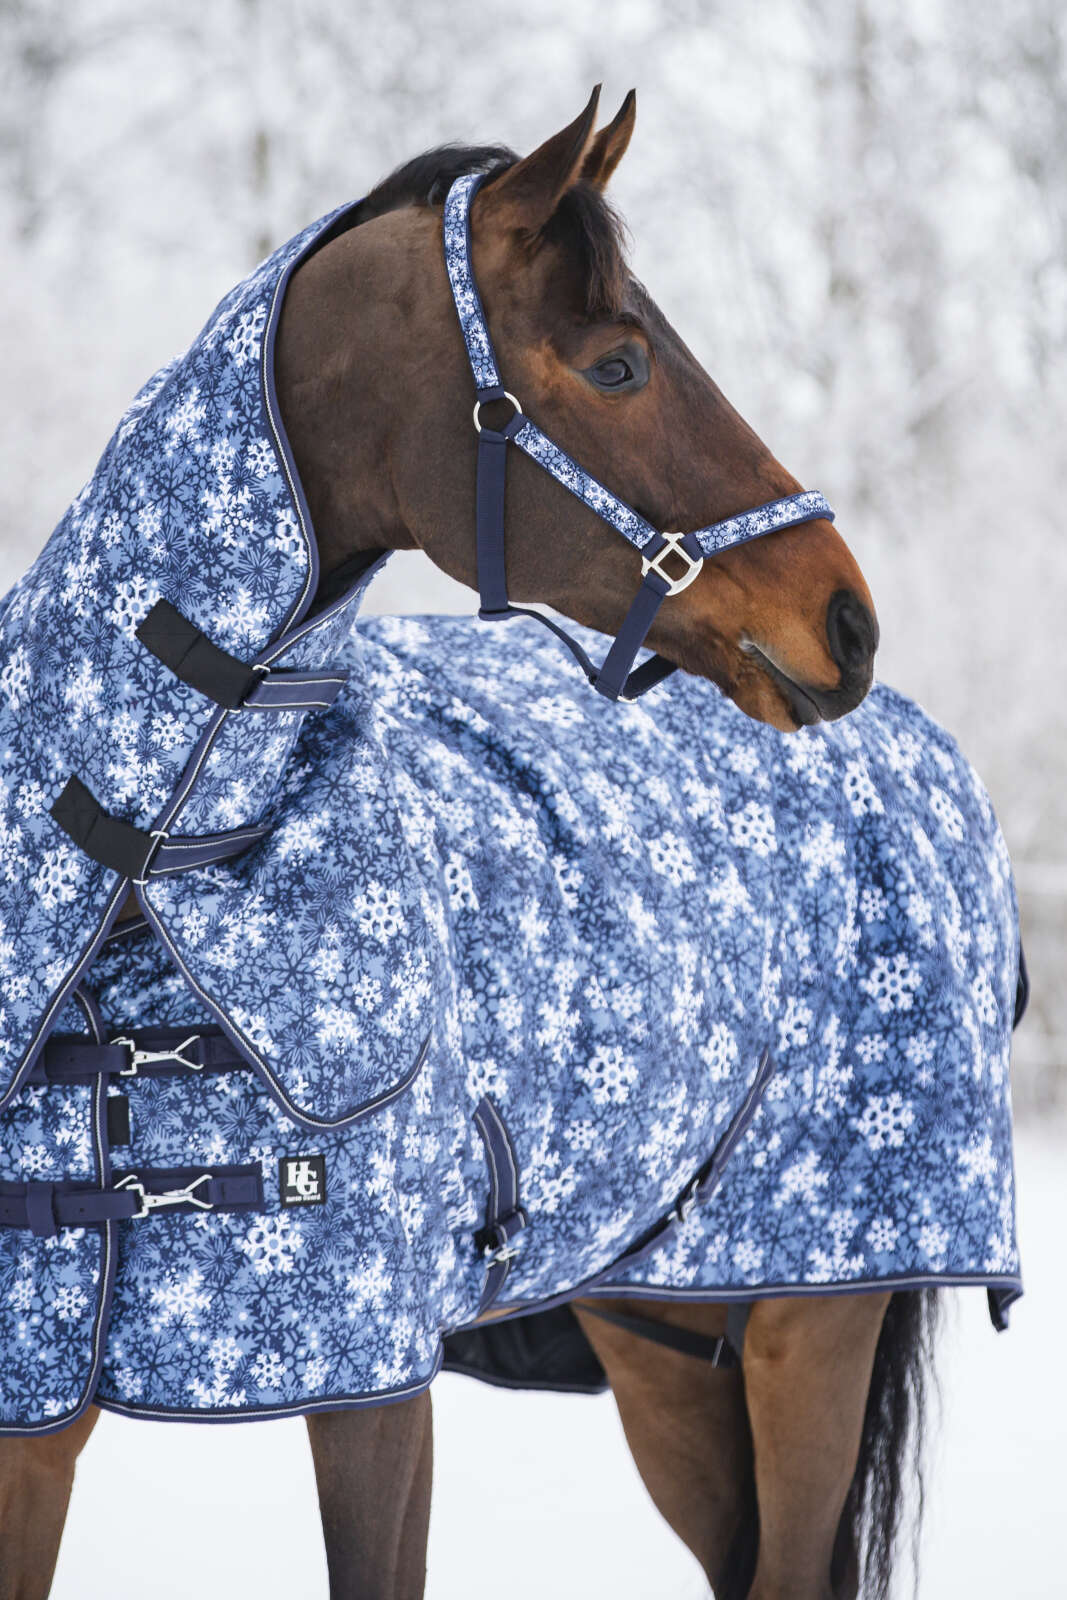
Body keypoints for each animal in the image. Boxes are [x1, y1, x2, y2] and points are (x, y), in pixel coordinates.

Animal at [0, 89, 1021, 1600]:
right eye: (617, 362)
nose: (844, 617)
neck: (143, 886)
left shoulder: (374, 1387)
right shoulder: (31, 1420)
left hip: (809, 1321)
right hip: (662, 1339)